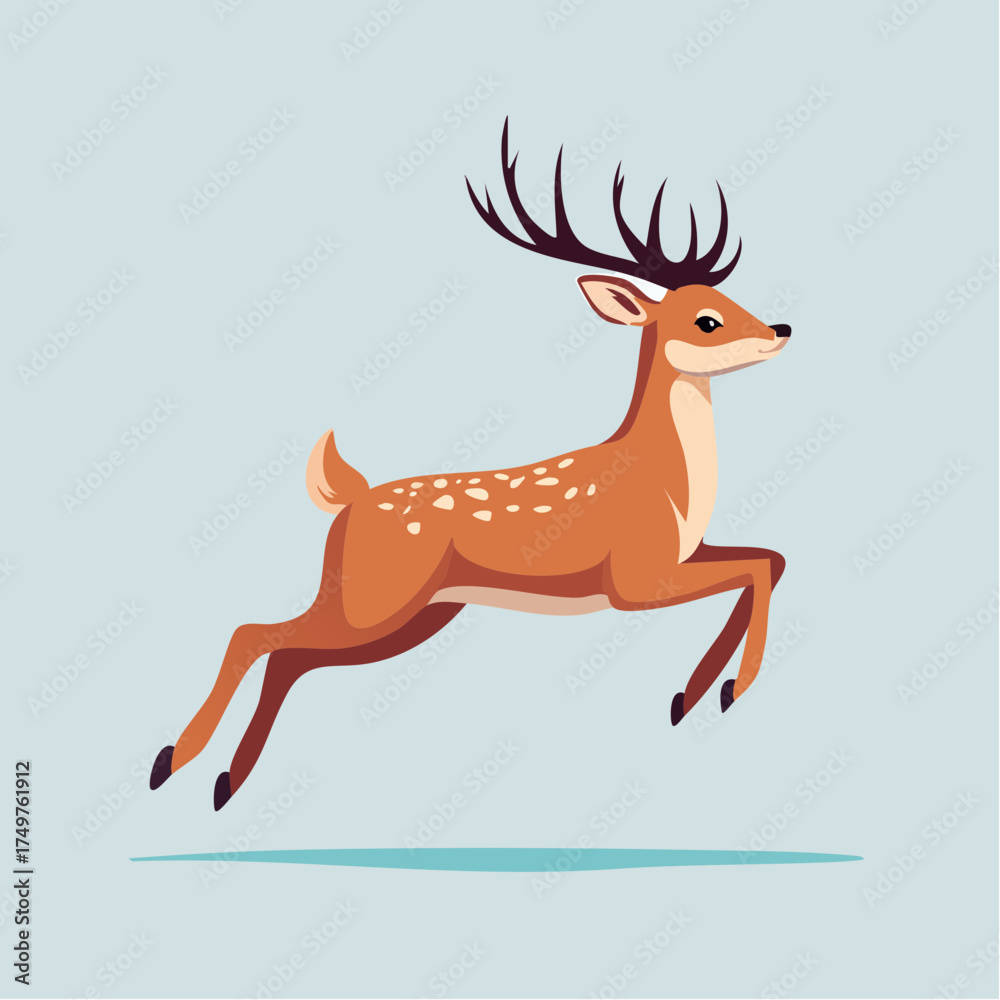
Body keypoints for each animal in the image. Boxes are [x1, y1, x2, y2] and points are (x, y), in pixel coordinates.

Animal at [150, 120, 790, 810]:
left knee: (287, 654)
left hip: (411, 612)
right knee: (256, 634)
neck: (670, 486)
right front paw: (728, 689)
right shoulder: (634, 578)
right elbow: (756, 568)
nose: (781, 329)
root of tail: (349, 502)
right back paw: (181, 764)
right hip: (373, 599)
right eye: (706, 320)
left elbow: (769, 560)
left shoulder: (679, 559)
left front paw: (695, 694)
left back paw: (219, 776)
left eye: (726, 296)